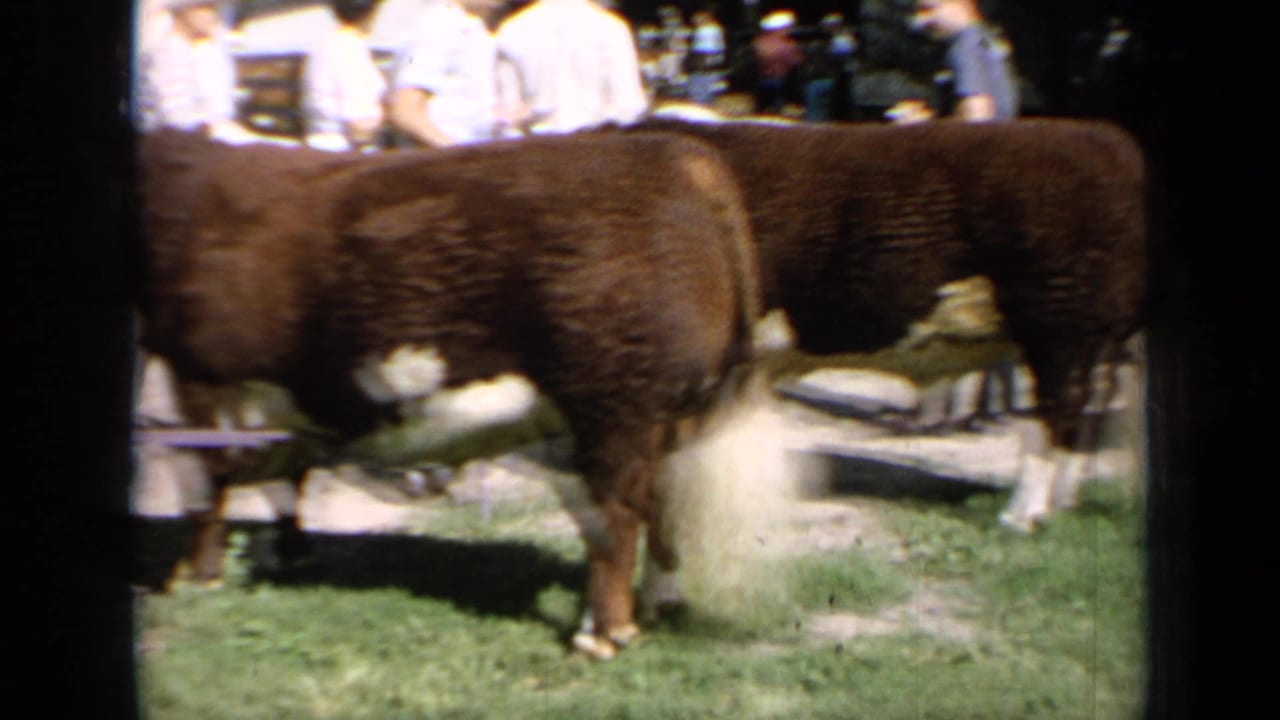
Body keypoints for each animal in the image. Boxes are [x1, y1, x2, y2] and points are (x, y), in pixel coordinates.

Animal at [135, 128, 766, 659]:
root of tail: (682, 158)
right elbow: (285, 478)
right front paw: (285, 552)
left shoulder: (202, 376)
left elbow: (210, 481)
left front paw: (201, 575)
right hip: (671, 413)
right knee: (665, 502)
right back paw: (661, 601)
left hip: (616, 405)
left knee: (618, 513)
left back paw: (603, 635)